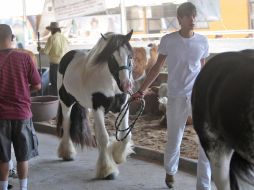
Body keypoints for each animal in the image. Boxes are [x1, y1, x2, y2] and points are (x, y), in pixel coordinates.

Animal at [56, 30, 134, 180]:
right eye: (112, 57)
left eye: (130, 56)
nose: (126, 85)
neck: (111, 83)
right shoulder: (98, 108)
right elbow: (103, 137)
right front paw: (107, 170)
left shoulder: (123, 107)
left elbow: (126, 135)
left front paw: (117, 156)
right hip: (66, 101)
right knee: (67, 124)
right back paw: (67, 153)